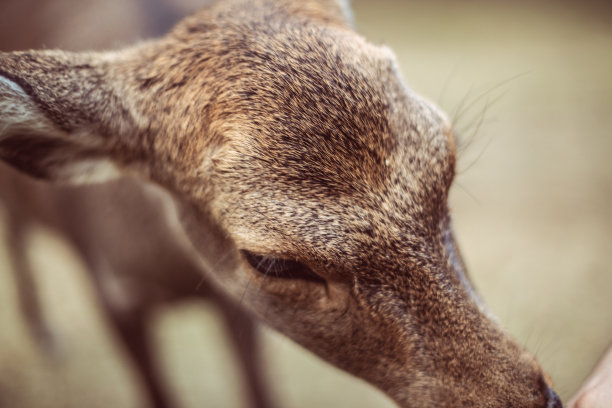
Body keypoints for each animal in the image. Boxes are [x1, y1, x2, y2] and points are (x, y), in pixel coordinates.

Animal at [0, 0, 564, 406]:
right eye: (272, 262)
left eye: (448, 160)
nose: (538, 399)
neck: (166, 272)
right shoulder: (113, 297)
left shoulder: (235, 310)